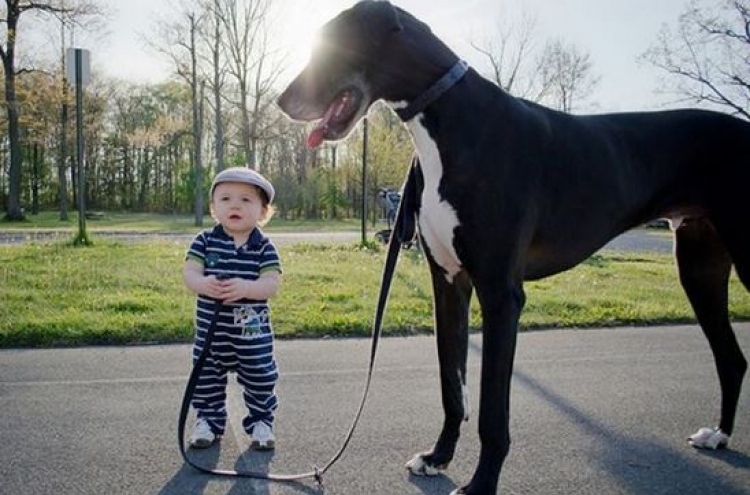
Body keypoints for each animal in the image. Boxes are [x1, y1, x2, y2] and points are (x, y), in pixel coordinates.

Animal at [278, 1, 750, 494]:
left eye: (333, 44)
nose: (281, 101)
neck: (450, 119)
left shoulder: (501, 293)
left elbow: (491, 410)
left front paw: (482, 483)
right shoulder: (449, 283)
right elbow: (453, 386)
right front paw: (438, 457)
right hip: (698, 266)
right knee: (732, 359)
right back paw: (719, 435)